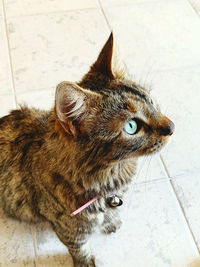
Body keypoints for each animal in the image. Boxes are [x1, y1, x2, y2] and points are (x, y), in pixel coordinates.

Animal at [0, 34, 174, 267]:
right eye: (132, 126)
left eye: (153, 102)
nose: (172, 127)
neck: (110, 175)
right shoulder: (69, 228)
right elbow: (79, 248)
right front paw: (86, 262)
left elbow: (110, 216)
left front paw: (111, 222)